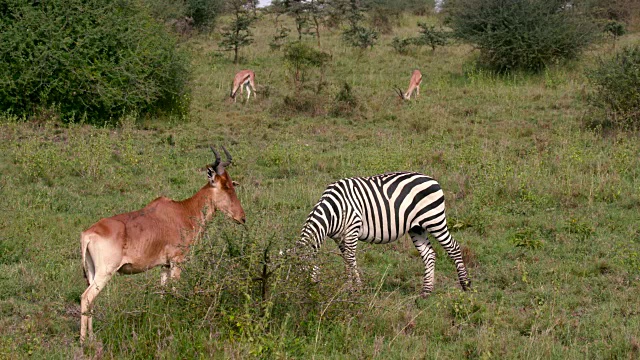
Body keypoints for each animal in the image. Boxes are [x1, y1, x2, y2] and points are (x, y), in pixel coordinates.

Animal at [79, 146, 248, 344]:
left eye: (232, 184)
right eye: (225, 186)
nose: (242, 218)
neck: (182, 211)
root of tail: (88, 234)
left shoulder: (164, 265)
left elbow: (163, 292)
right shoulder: (177, 261)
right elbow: (174, 290)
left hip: (92, 272)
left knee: (91, 300)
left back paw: (92, 337)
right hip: (105, 272)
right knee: (86, 297)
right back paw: (83, 342)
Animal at [298, 172, 472, 296]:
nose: (302, 300)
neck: (334, 211)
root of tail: (433, 180)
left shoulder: (352, 229)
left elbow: (350, 259)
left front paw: (357, 288)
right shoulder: (339, 238)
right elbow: (346, 260)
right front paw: (348, 287)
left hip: (434, 219)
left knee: (454, 247)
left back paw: (465, 285)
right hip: (416, 227)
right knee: (429, 254)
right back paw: (426, 292)